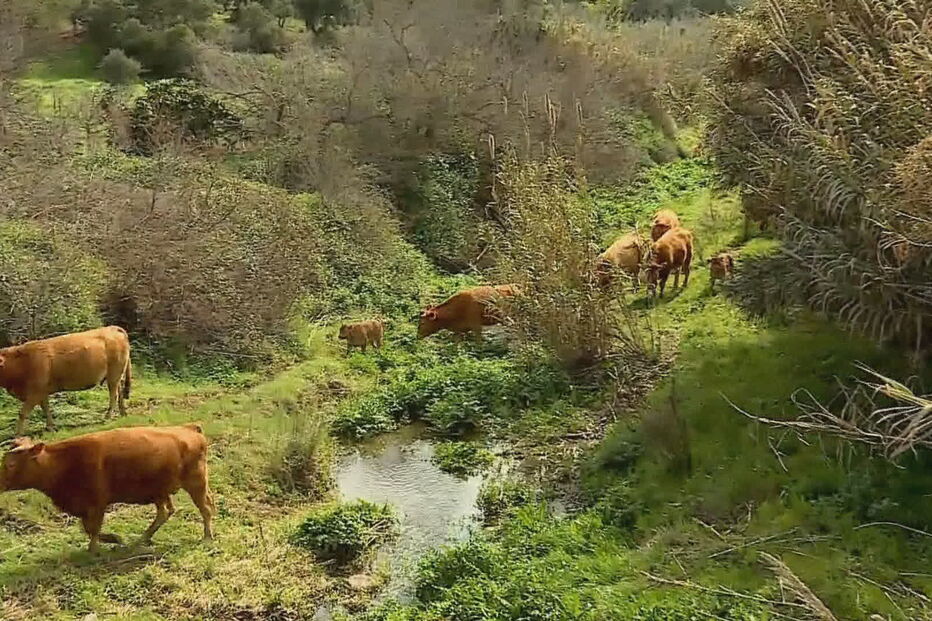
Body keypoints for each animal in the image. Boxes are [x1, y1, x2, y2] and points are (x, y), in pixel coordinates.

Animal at [0, 326, 132, 436]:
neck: (20, 362)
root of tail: (113, 328)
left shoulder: (34, 393)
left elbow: (23, 413)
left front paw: (18, 434)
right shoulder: (42, 392)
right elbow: (46, 409)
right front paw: (50, 427)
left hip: (114, 375)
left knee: (114, 396)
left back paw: (108, 416)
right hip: (116, 376)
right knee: (120, 394)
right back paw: (123, 413)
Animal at [0, 424, 214, 554]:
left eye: (11, 464)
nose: (0, 483)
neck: (63, 461)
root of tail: (189, 428)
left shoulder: (97, 504)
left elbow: (93, 530)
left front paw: (95, 548)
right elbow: (88, 529)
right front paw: (115, 539)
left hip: (196, 484)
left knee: (205, 509)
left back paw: (207, 537)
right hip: (160, 492)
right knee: (165, 512)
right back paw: (143, 538)